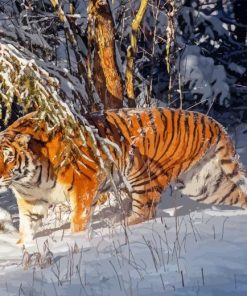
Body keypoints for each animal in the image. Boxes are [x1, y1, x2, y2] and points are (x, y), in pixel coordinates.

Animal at [0, 107, 246, 244]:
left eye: (8, 157)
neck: (29, 180)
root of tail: (212, 122)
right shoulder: (31, 200)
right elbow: (27, 225)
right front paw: (22, 246)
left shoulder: (83, 186)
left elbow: (78, 219)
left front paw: (75, 240)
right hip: (203, 183)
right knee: (237, 194)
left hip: (142, 174)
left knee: (145, 212)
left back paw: (118, 225)